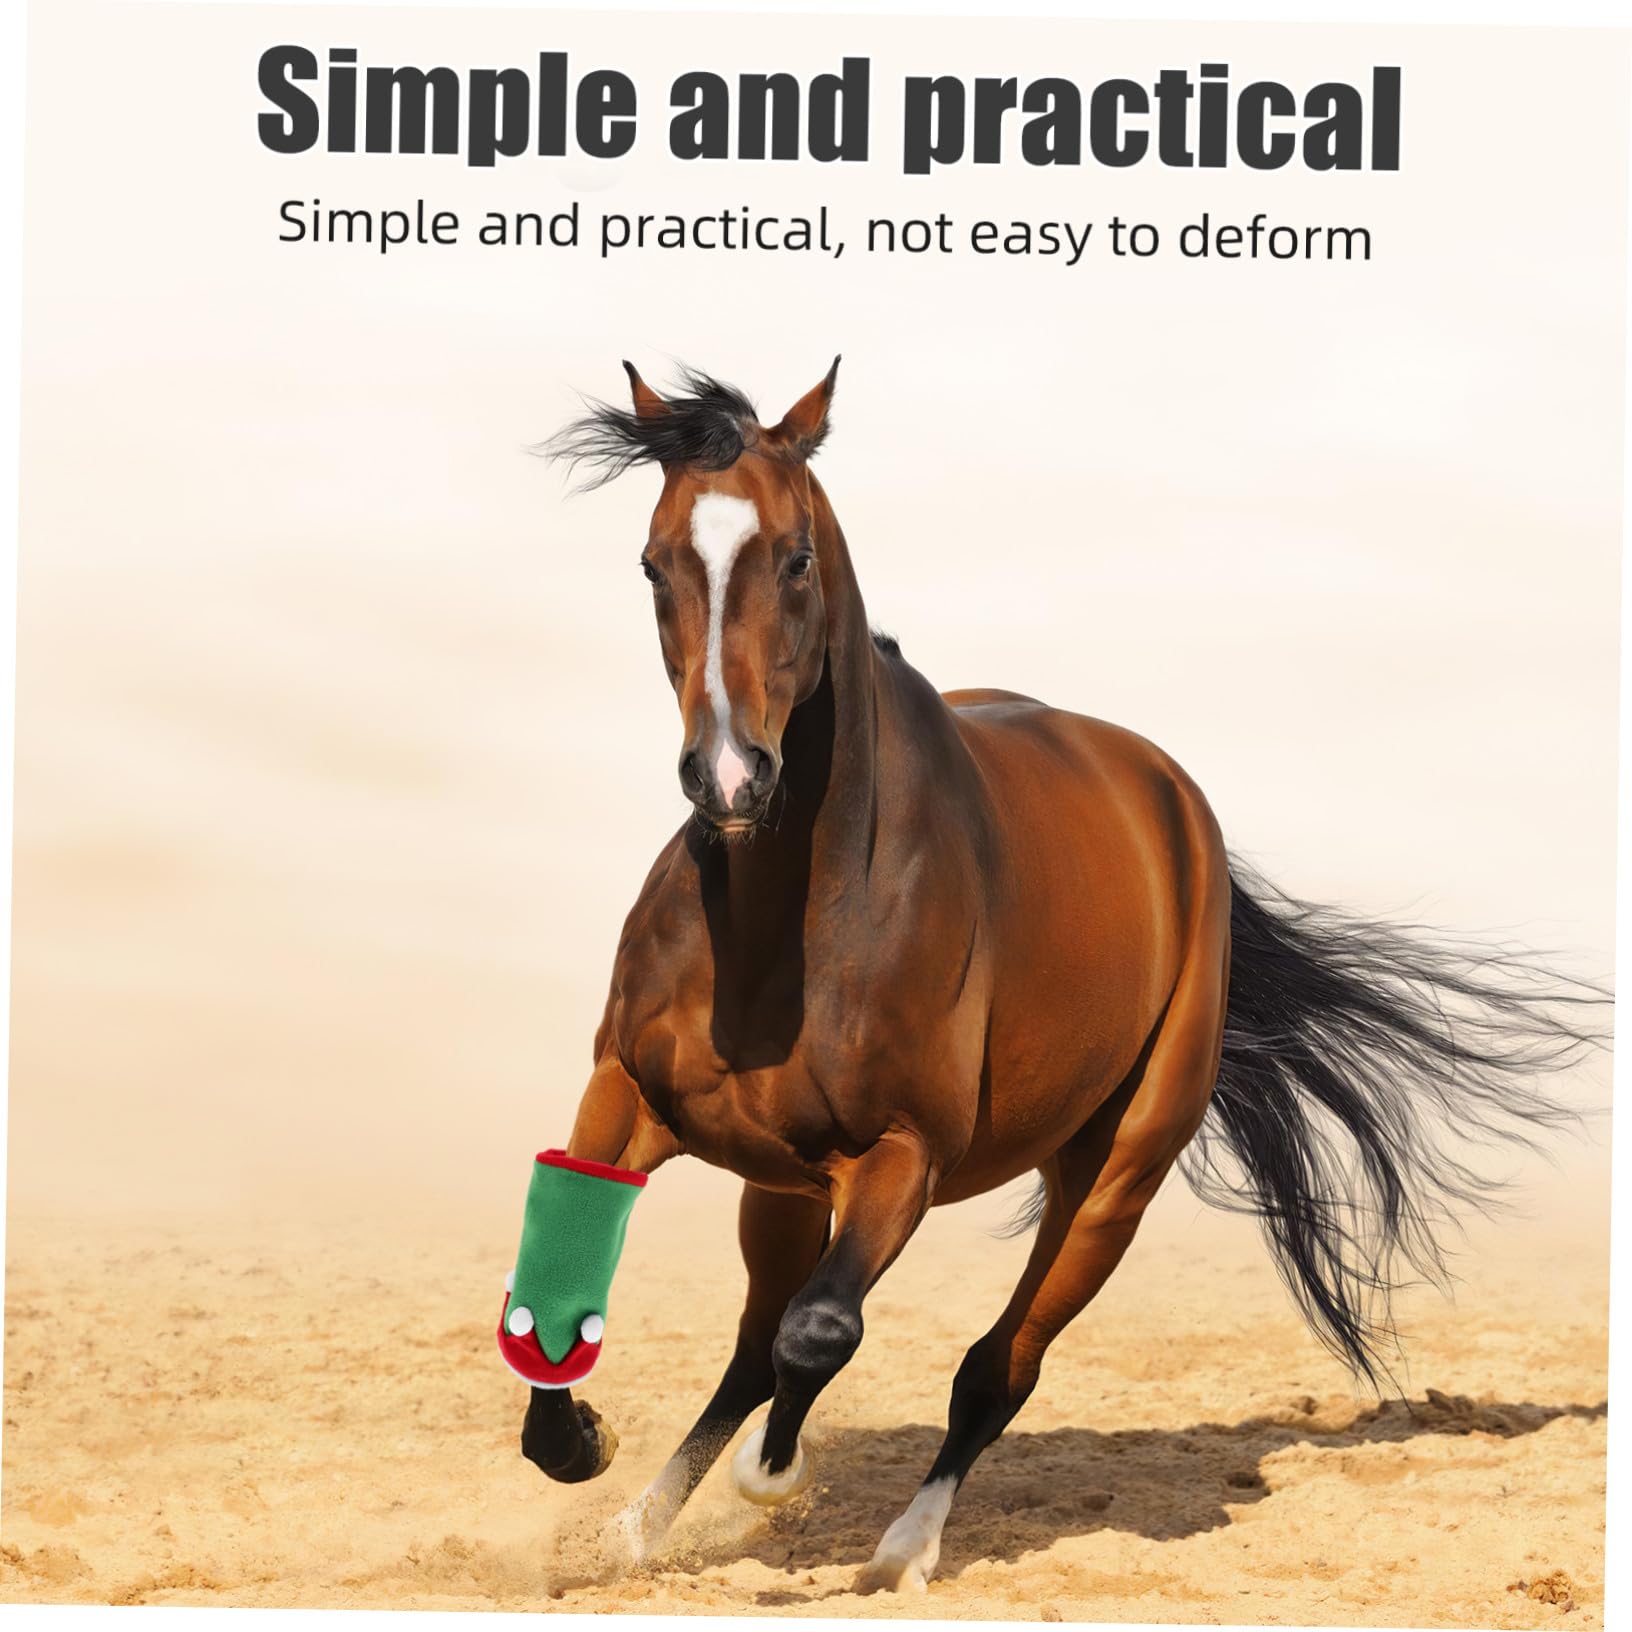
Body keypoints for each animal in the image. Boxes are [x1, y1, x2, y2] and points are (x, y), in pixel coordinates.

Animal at [516, 359, 1602, 1591]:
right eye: (656, 563)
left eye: (794, 557)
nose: (732, 777)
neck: (787, 923)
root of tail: (1174, 807)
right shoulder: (629, 1092)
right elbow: (556, 1281)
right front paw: (583, 1447)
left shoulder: (903, 1158)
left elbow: (823, 1330)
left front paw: (773, 1477)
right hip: (780, 1182)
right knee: (756, 1342)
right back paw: (634, 1532)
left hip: (1113, 1179)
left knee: (991, 1366)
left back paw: (901, 1552)